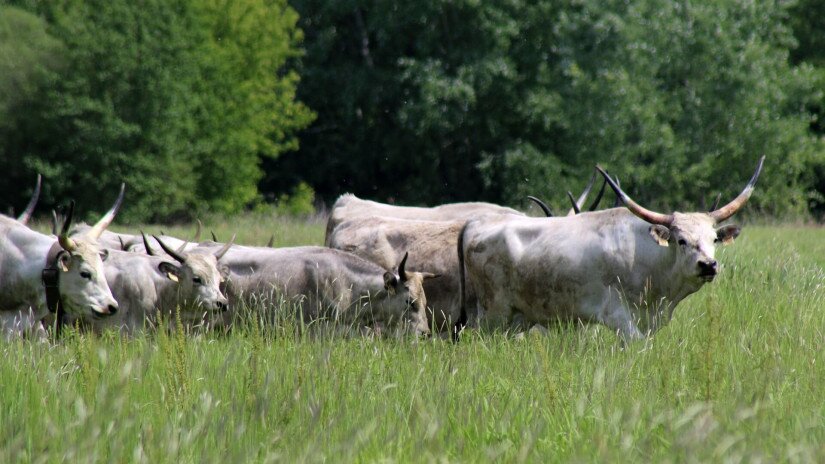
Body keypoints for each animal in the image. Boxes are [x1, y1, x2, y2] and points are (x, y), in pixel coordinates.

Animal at [454, 158, 764, 338]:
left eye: (713, 239)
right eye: (681, 240)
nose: (708, 265)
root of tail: (475, 224)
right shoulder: (619, 317)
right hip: (492, 314)